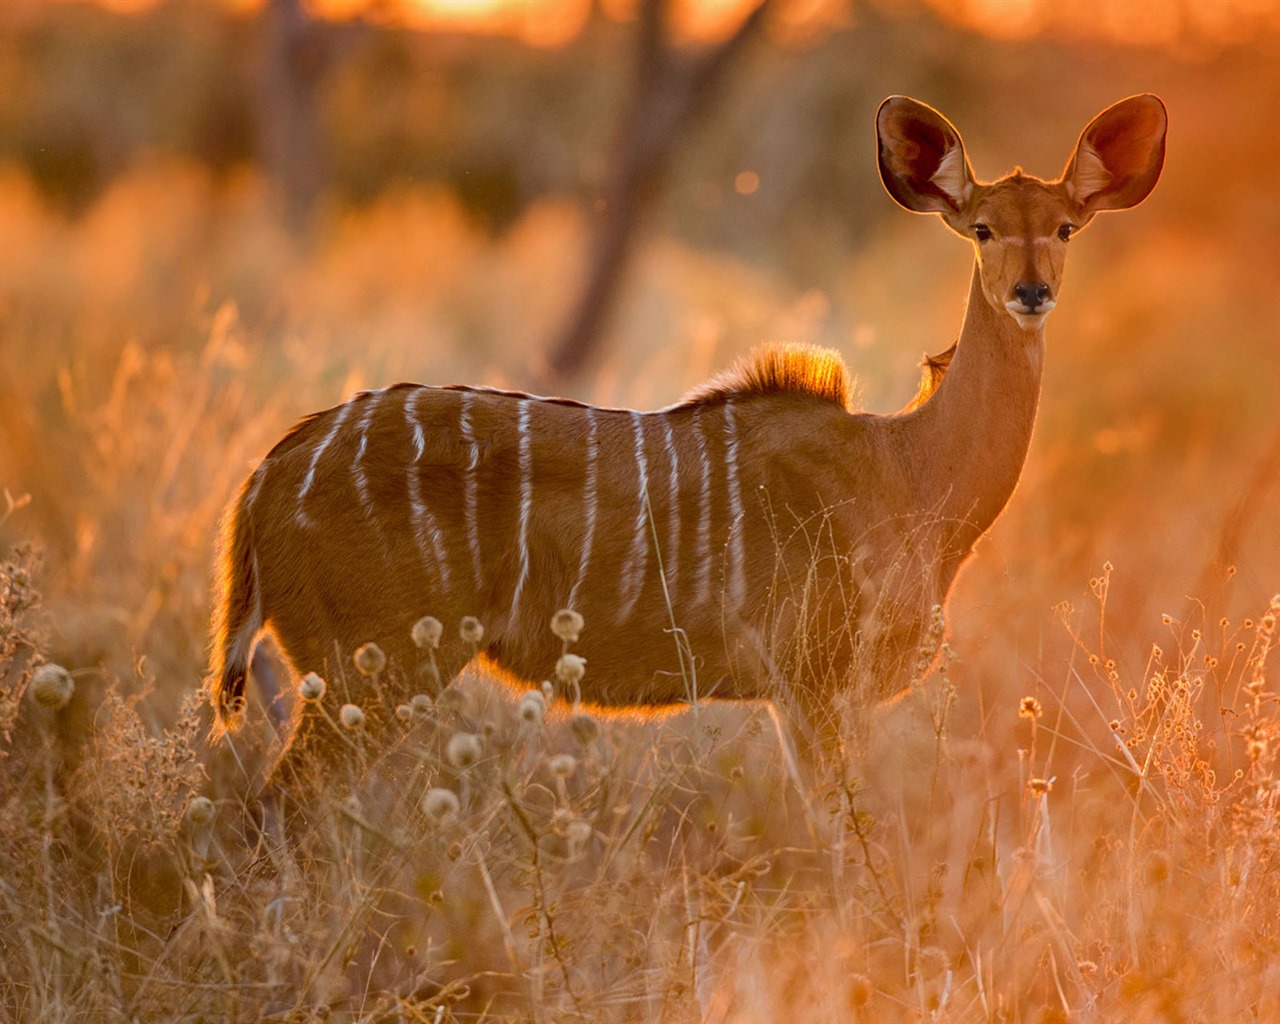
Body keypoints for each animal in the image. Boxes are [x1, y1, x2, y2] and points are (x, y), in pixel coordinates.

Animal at [209, 94, 1172, 778]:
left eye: (1065, 227)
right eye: (981, 228)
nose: (1032, 293)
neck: (908, 470)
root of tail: (266, 477)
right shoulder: (814, 692)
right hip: (368, 676)